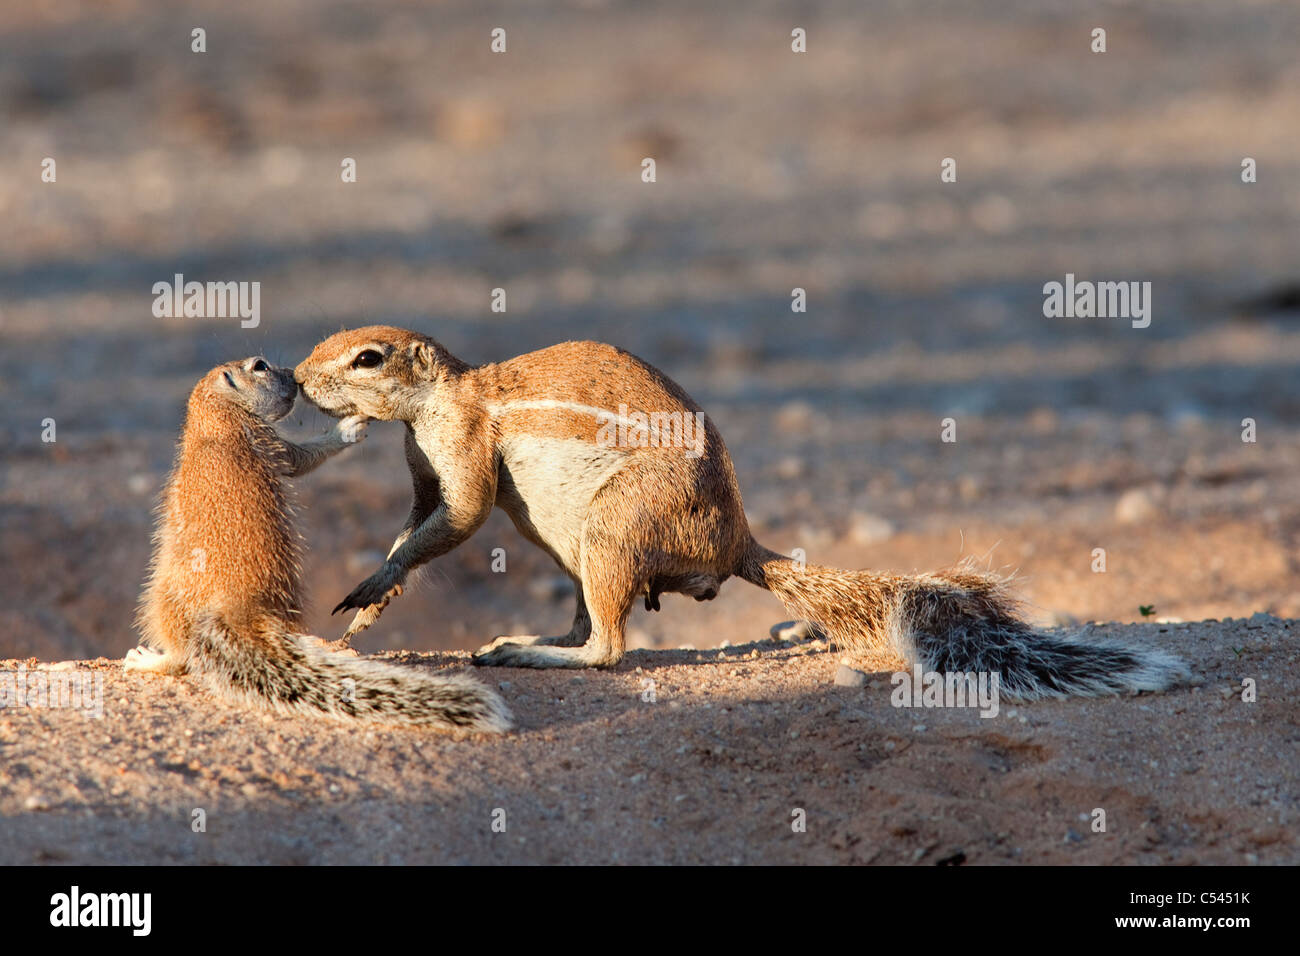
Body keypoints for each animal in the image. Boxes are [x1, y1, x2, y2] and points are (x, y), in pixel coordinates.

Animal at [126, 356, 509, 733]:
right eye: (260, 366)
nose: (292, 374)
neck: (211, 420)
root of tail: (244, 610)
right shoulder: (264, 438)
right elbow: (301, 459)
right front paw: (348, 428)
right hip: (163, 602)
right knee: (180, 660)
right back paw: (147, 660)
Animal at [295, 325, 1190, 697]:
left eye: (367, 356)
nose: (299, 380)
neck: (438, 402)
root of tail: (738, 544)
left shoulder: (465, 455)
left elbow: (458, 520)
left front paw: (372, 586)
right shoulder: (424, 474)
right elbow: (417, 525)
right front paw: (371, 605)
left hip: (611, 530)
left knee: (610, 649)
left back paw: (526, 652)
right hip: (575, 546)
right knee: (593, 624)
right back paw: (541, 636)